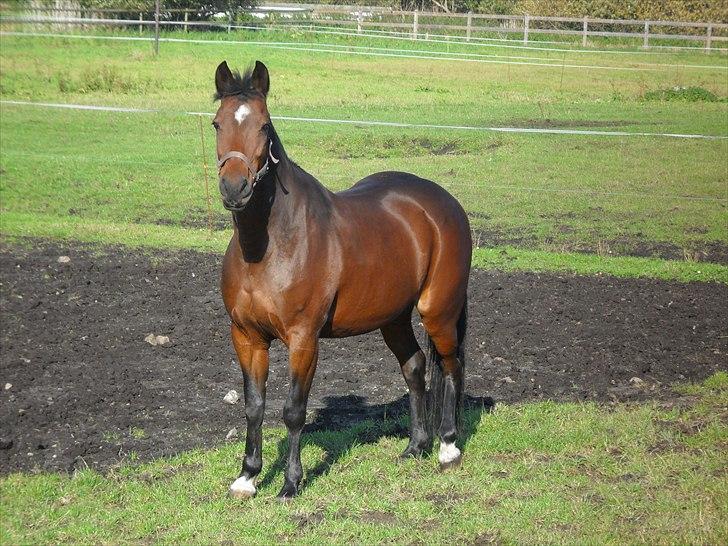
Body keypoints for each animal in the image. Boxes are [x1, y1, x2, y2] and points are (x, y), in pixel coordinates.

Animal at [213, 59, 472, 498]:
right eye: (217, 122)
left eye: (264, 125)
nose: (235, 188)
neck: (268, 247)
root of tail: (445, 203)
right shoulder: (246, 336)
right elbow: (254, 406)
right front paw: (247, 478)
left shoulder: (303, 338)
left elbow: (293, 410)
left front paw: (290, 484)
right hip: (394, 318)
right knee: (415, 366)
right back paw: (415, 447)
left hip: (437, 310)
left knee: (451, 366)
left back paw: (447, 449)